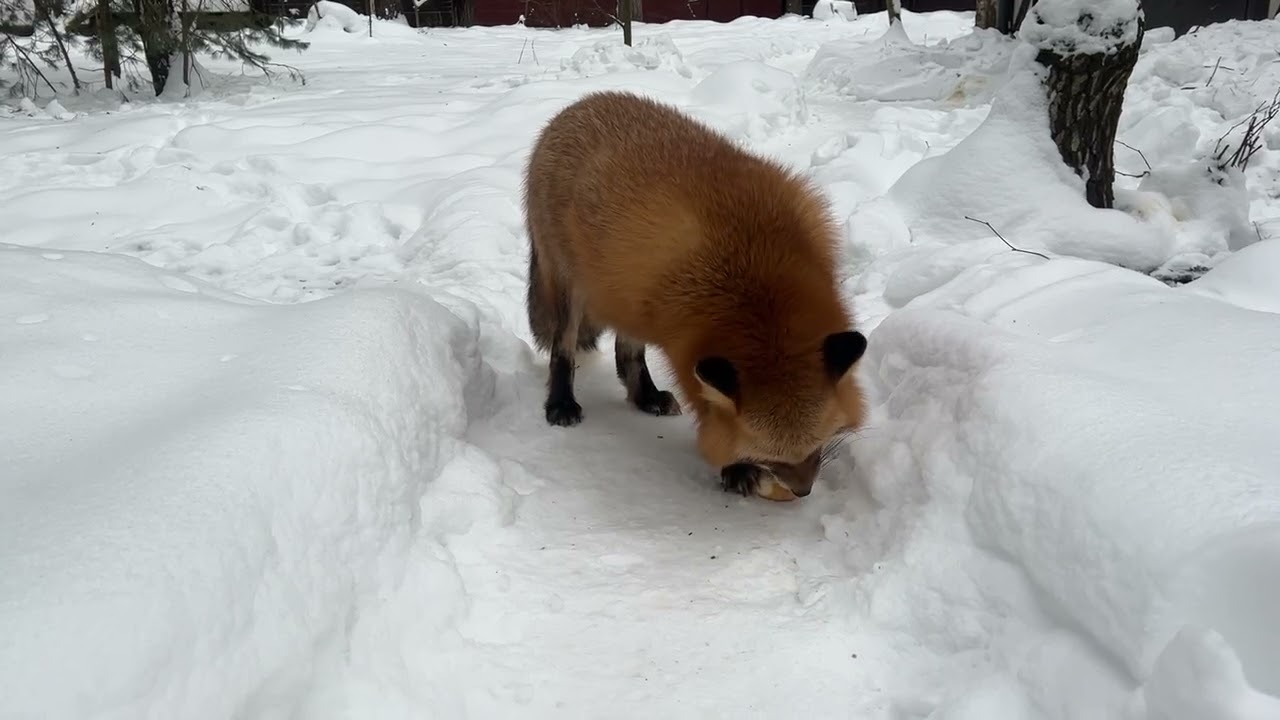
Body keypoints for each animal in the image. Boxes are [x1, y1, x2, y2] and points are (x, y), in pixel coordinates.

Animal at [521, 90, 867, 499]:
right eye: (769, 456)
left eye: (817, 447)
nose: (803, 491)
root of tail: (578, 104)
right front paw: (738, 470)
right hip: (570, 288)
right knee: (564, 349)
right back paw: (561, 403)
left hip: (628, 298)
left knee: (627, 356)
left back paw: (646, 397)